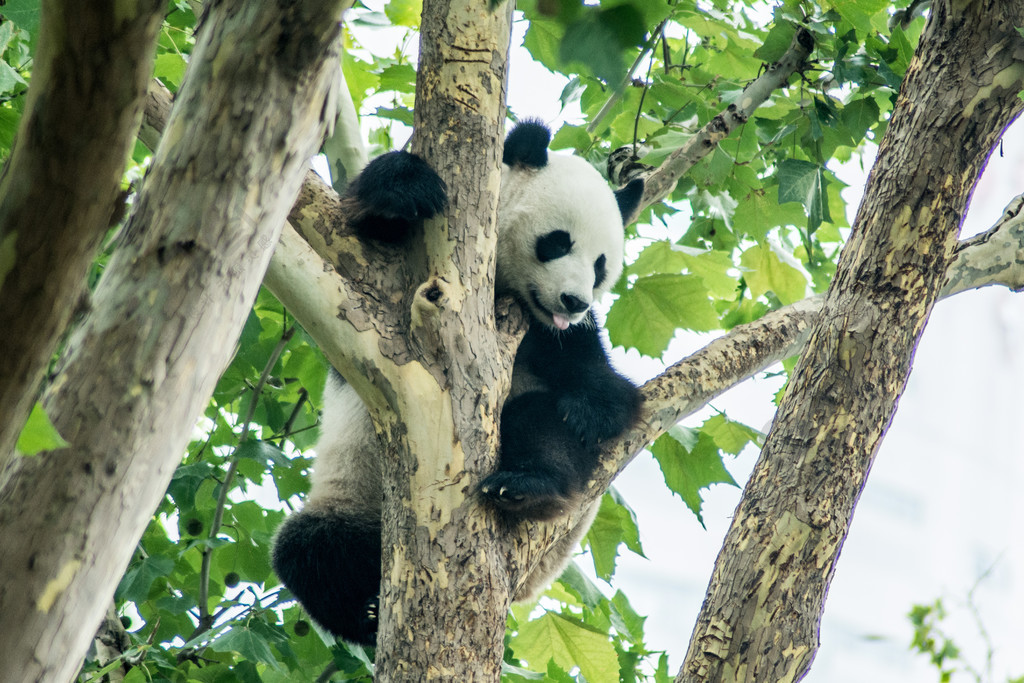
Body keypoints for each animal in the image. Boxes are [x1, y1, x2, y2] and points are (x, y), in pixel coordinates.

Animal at [272, 118, 638, 647]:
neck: (503, 291)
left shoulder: (554, 337)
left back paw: (527, 486)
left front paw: (590, 410)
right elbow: (358, 239)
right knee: (310, 552)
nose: (574, 302)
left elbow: (606, 391)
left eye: (601, 265)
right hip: (348, 499)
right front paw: (405, 186)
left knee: (538, 426)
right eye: (558, 242)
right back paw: (364, 615)